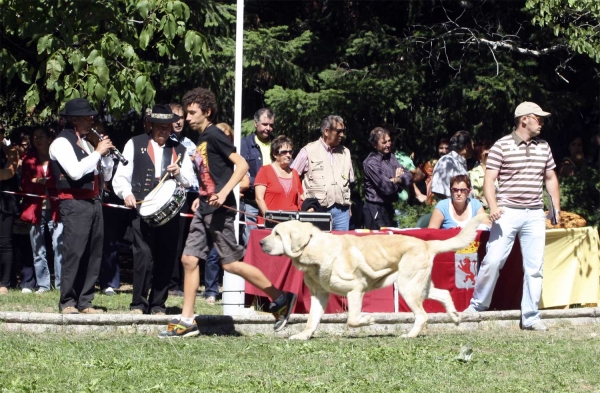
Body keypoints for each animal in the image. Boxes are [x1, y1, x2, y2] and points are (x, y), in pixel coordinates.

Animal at [258, 213, 488, 338]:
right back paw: (455, 317)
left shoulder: (355, 289)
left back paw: (409, 335)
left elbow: (352, 319)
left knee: (423, 315)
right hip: (418, 285)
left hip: (407, 287)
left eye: (277, 234)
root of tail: (427, 243)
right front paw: (303, 336)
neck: (314, 249)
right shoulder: (319, 295)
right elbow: (312, 320)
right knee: (444, 294)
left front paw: (368, 319)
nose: (260, 243)